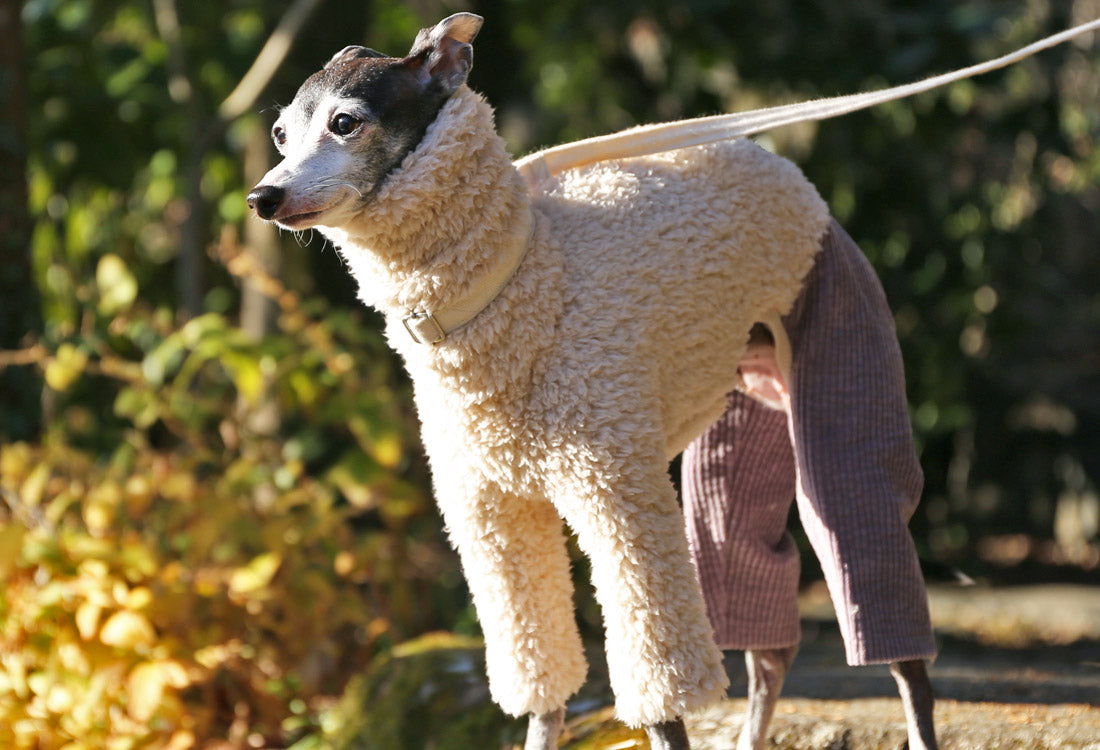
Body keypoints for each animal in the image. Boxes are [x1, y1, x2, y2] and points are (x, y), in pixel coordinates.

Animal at [249, 13, 937, 747]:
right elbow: (541, 684)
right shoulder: (492, 520)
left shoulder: (618, 498)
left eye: (345, 122)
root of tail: (787, 172)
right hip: (734, 418)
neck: (515, 290)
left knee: (878, 584)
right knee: (766, 633)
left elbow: (661, 691)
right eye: (281, 132)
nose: (262, 197)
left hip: (835, 345)